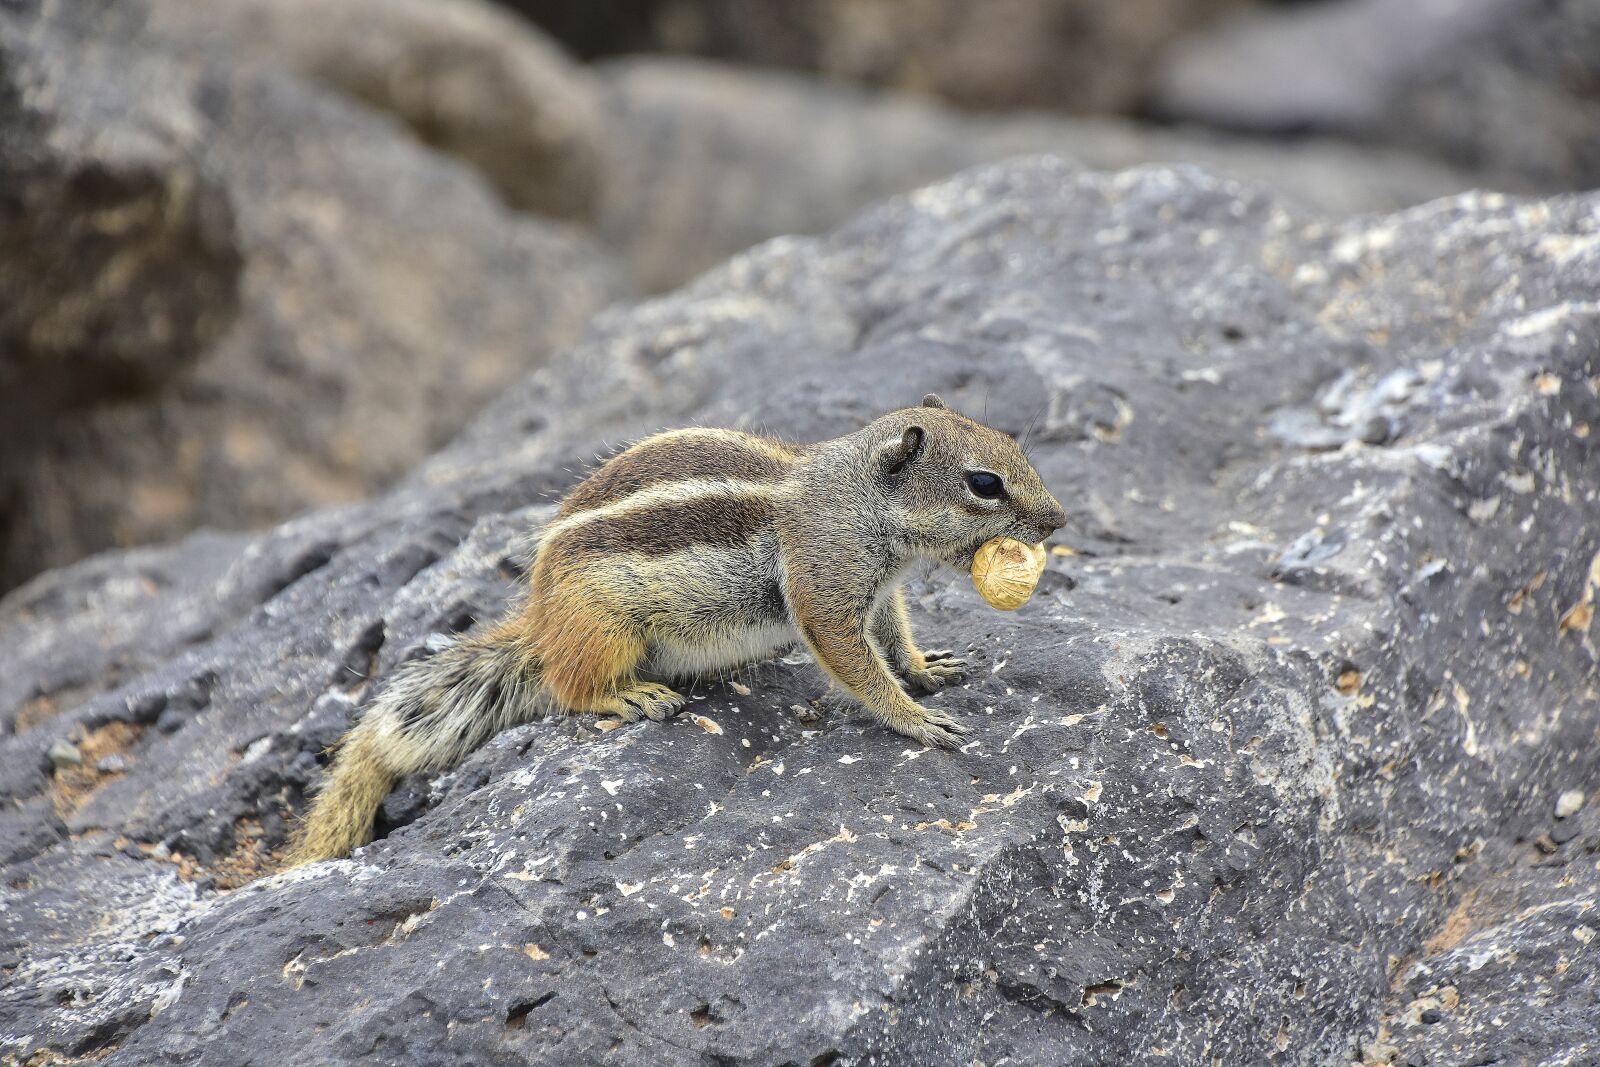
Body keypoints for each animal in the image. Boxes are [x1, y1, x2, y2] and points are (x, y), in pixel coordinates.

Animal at [287, 395, 1065, 865]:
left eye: (1013, 445)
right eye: (985, 483)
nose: (1059, 520)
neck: (854, 498)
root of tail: (539, 620)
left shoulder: (878, 593)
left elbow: (894, 637)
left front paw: (928, 669)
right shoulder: (823, 586)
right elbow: (855, 663)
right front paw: (913, 718)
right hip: (605, 628)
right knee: (568, 686)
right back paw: (627, 696)